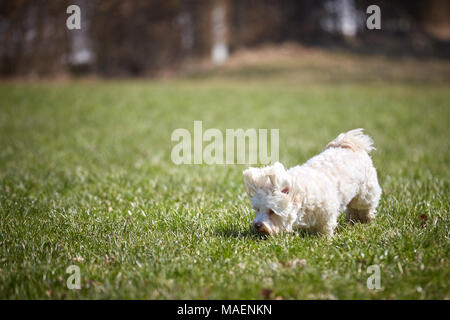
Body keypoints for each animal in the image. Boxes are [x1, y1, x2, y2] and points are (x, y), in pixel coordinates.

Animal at [244, 129, 382, 236]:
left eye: (272, 211)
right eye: (257, 209)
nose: (257, 225)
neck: (302, 195)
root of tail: (348, 144)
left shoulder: (327, 212)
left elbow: (325, 228)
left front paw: (324, 238)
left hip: (365, 193)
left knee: (364, 206)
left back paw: (365, 219)